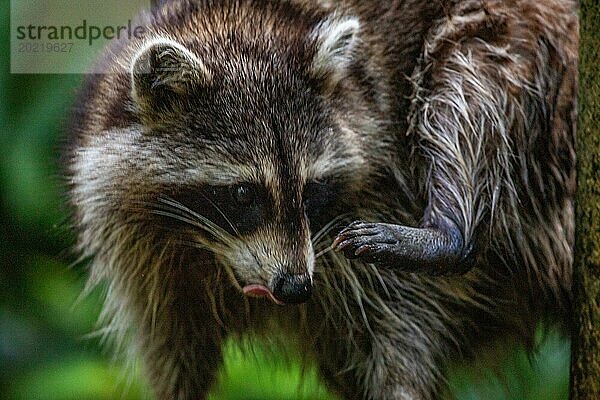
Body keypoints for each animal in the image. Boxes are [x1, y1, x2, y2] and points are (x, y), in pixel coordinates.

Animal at [63, 0, 580, 398]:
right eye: (243, 193)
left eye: (312, 190)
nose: (295, 287)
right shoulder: (150, 269)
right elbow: (176, 357)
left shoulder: (386, 195)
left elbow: (404, 330)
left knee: (467, 79)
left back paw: (450, 233)